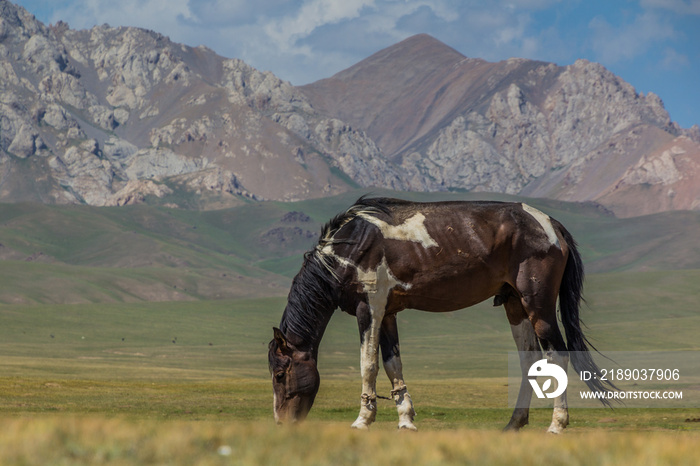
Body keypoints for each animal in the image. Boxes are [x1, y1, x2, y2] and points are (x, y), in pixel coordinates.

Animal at [268, 197, 612, 434]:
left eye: (280, 375)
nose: (281, 423)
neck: (350, 247)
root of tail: (551, 225)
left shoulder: (370, 308)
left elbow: (369, 366)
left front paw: (363, 420)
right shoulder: (388, 313)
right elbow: (393, 365)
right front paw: (406, 420)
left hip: (537, 304)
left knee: (558, 355)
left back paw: (556, 425)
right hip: (515, 304)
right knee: (530, 359)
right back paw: (514, 423)